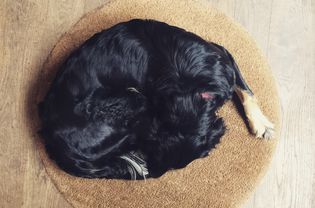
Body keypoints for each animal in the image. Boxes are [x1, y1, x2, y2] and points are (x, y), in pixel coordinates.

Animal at [39, 18, 276, 180]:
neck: (189, 87)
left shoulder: (222, 56)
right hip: (129, 103)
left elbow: (244, 88)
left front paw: (260, 122)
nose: (155, 170)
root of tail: (56, 145)